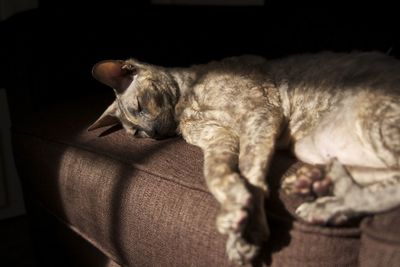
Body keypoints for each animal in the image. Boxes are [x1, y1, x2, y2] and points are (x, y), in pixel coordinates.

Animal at [88, 52, 400, 266]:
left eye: (139, 106)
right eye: (136, 133)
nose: (152, 134)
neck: (186, 103)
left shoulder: (259, 115)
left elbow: (250, 171)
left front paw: (247, 232)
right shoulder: (218, 140)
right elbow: (215, 176)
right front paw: (236, 210)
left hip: (372, 121)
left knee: (393, 183)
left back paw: (324, 202)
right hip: (313, 146)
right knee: (377, 176)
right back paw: (319, 186)